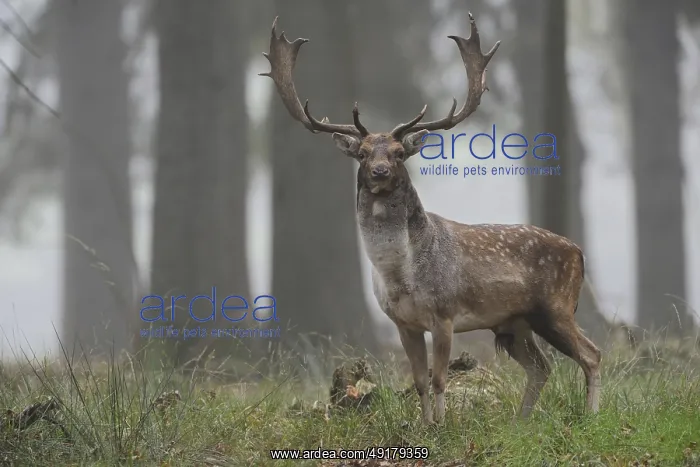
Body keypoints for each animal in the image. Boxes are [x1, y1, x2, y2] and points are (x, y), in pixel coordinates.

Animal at [260, 13, 602, 424]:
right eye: (362, 153)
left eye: (397, 152)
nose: (378, 171)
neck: (401, 277)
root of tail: (579, 252)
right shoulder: (402, 323)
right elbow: (420, 380)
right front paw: (424, 425)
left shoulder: (445, 313)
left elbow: (440, 378)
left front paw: (442, 425)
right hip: (514, 322)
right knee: (541, 366)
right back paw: (520, 423)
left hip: (556, 307)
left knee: (592, 354)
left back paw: (592, 416)